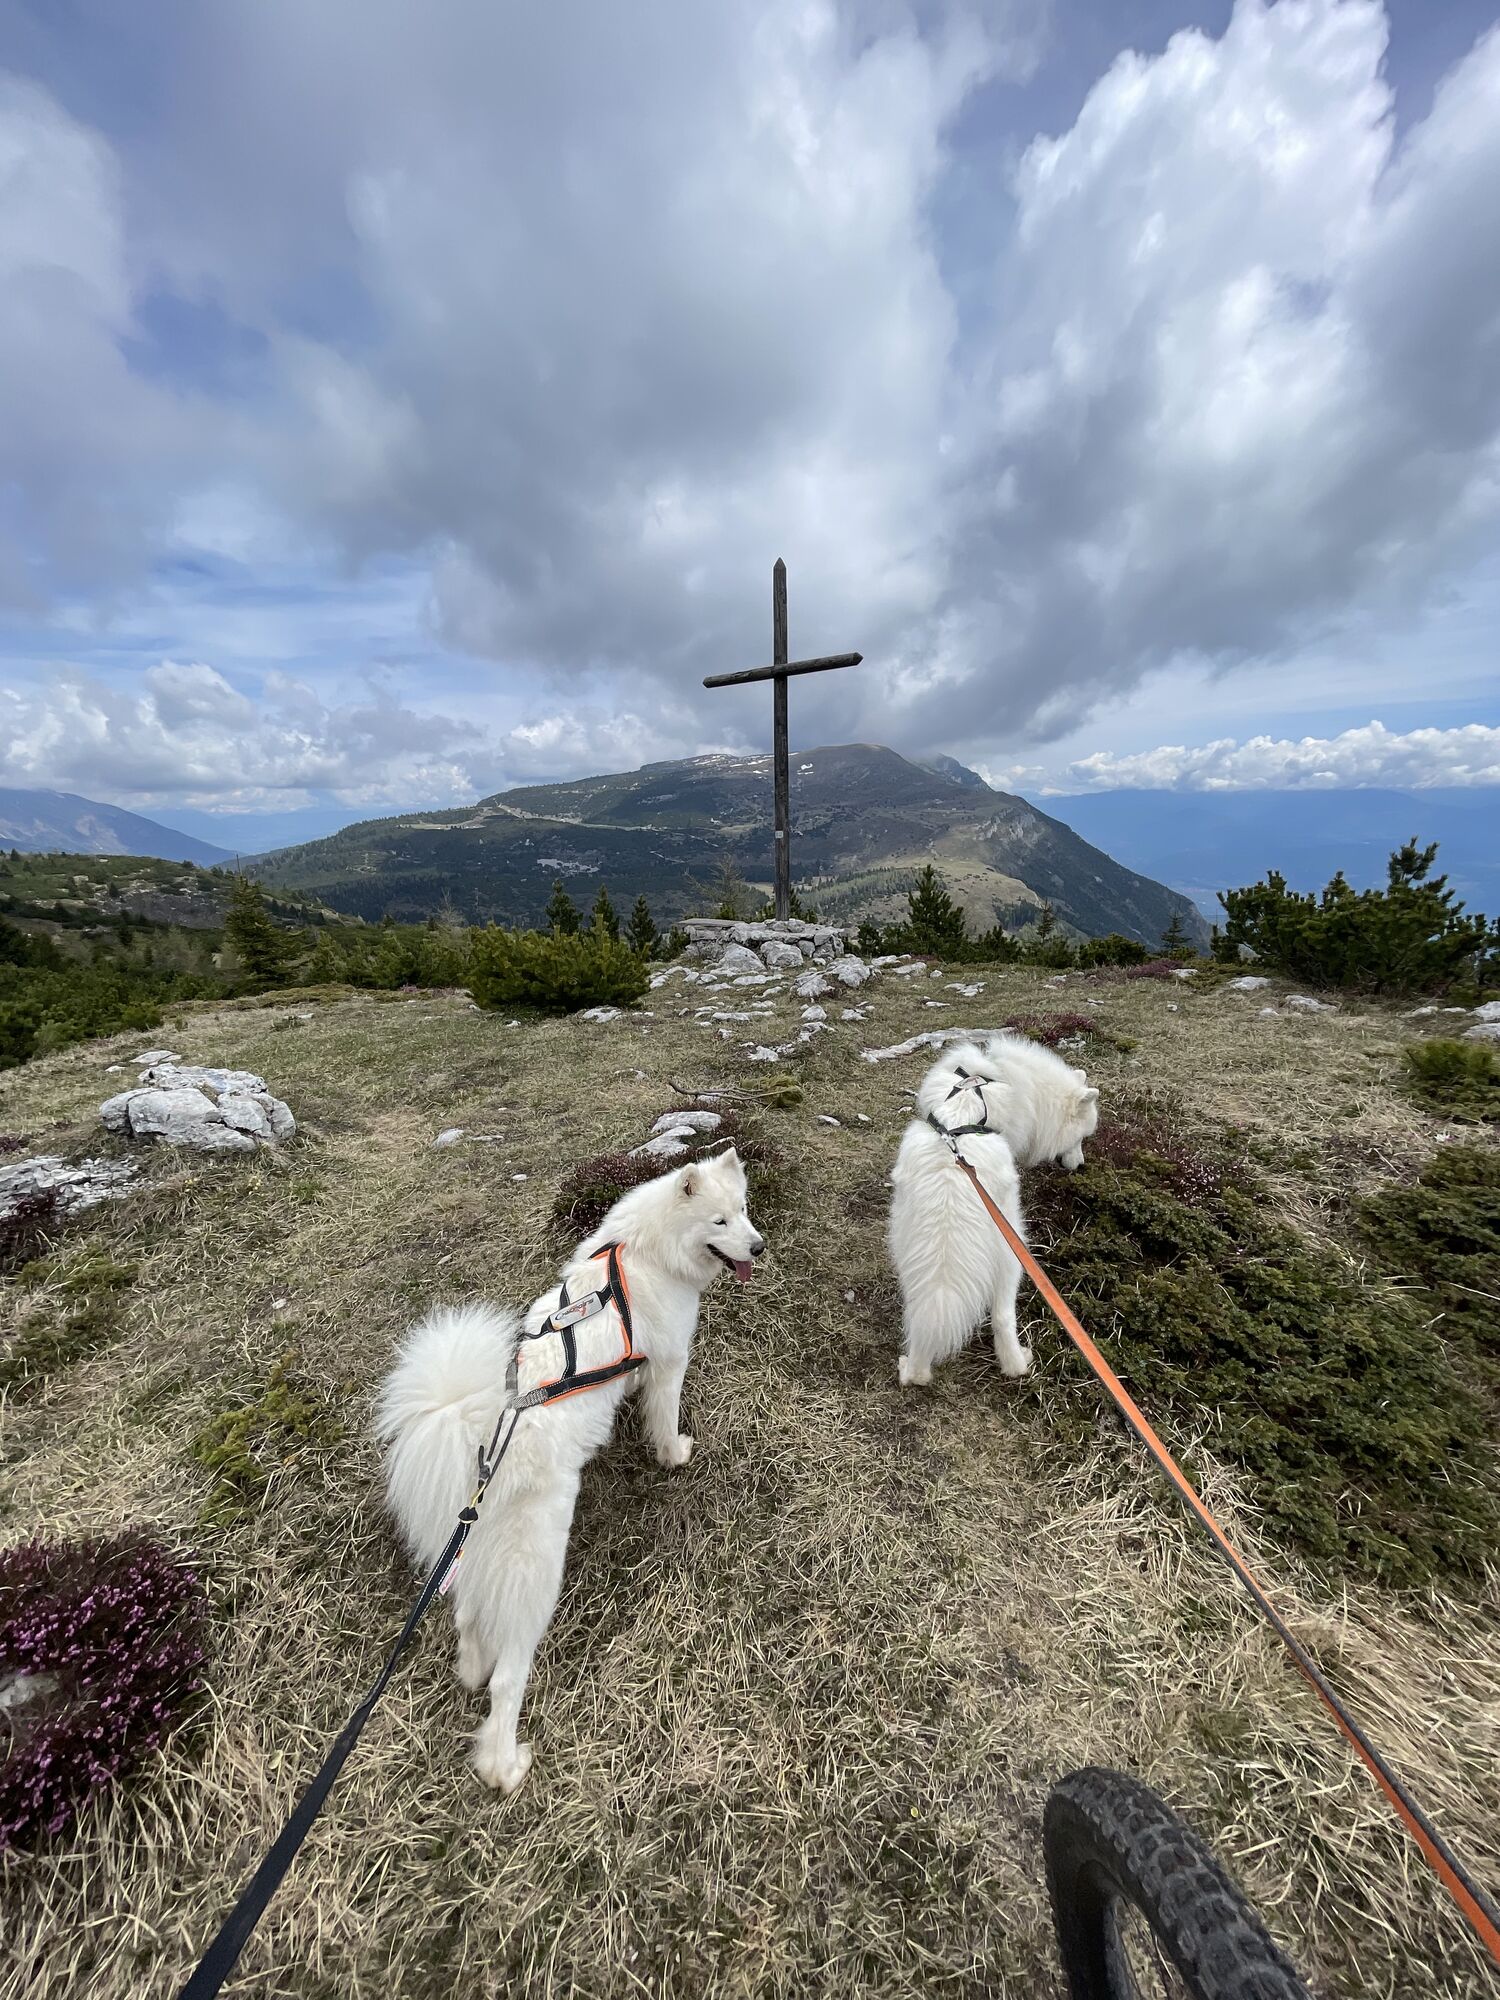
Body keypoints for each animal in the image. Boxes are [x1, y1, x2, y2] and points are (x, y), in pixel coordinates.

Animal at [375, 1146, 764, 1793]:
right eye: (720, 1222)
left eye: (744, 1210)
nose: (758, 1248)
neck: (643, 1254)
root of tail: (481, 1452)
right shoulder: (671, 1362)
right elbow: (664, 1417)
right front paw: (672, 1454)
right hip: (537, 1575)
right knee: (509, 1678)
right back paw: (504, 1766)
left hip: (473, 1565)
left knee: (469, 1623)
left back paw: (471, 1669)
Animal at [887, 1039, 1099, 1387]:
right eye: (1082, 1137)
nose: (1080, 1166)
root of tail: (953, 1177)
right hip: (1012, 1247)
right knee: (1002, 1315)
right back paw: (1017, 1364)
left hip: (908, 1245)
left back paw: (914, 1371)